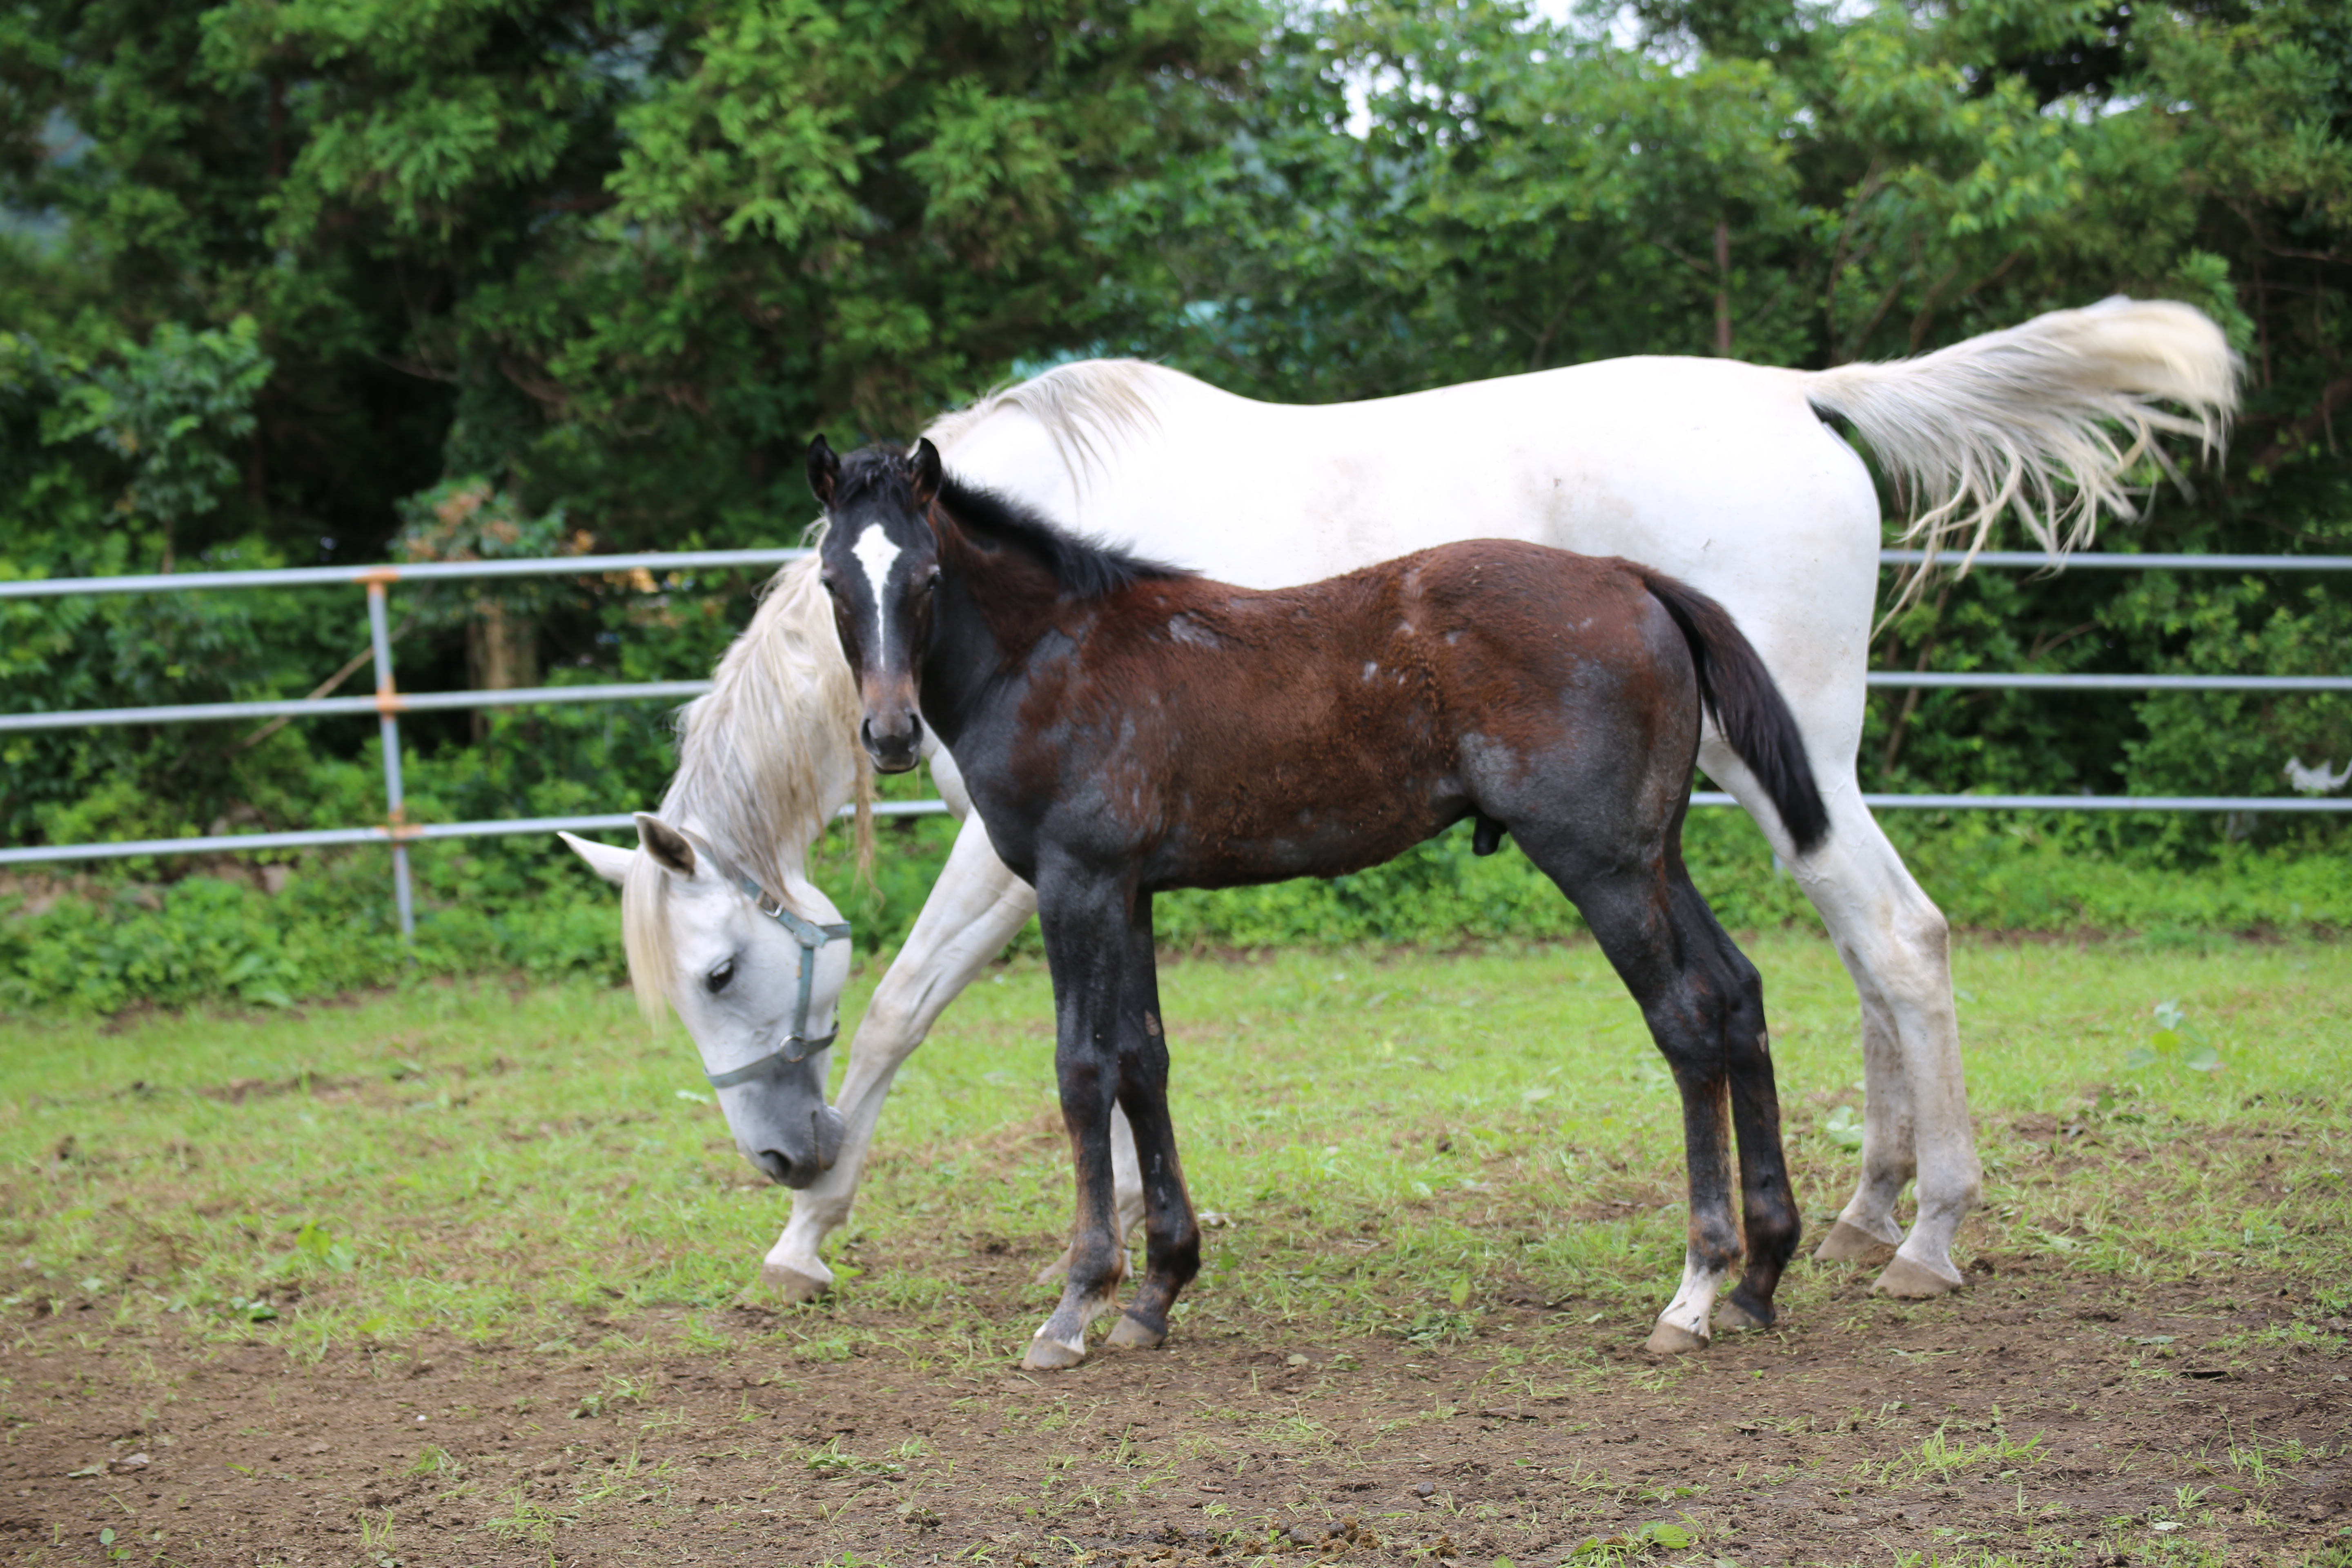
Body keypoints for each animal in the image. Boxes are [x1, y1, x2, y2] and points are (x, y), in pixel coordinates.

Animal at [559, 294, 2230, 1326]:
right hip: (1778, 778)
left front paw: (808, 1241)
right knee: (1856, 959)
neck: (1038, 592)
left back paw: (1926, 1236)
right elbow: (1096, 1046)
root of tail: (1799, 394)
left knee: (1896, 941)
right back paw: (1866, 1213)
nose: (775, 1157)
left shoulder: (1026, 859)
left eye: (721, 971)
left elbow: (920, 1010)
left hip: (1776, 767)